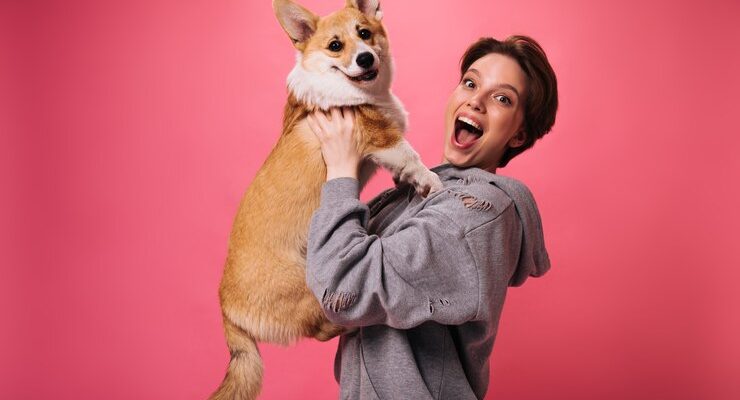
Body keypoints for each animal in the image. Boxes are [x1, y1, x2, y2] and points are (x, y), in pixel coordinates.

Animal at [210, 1, 440, 398]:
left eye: (365, 33)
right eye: (335, 46)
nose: (365, 58)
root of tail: (227, 311)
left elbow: (404, 167)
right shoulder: (384, 140)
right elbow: (412, 158)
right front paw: (432, 181)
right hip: (309, 285)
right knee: (320, 328)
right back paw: (353, 325)